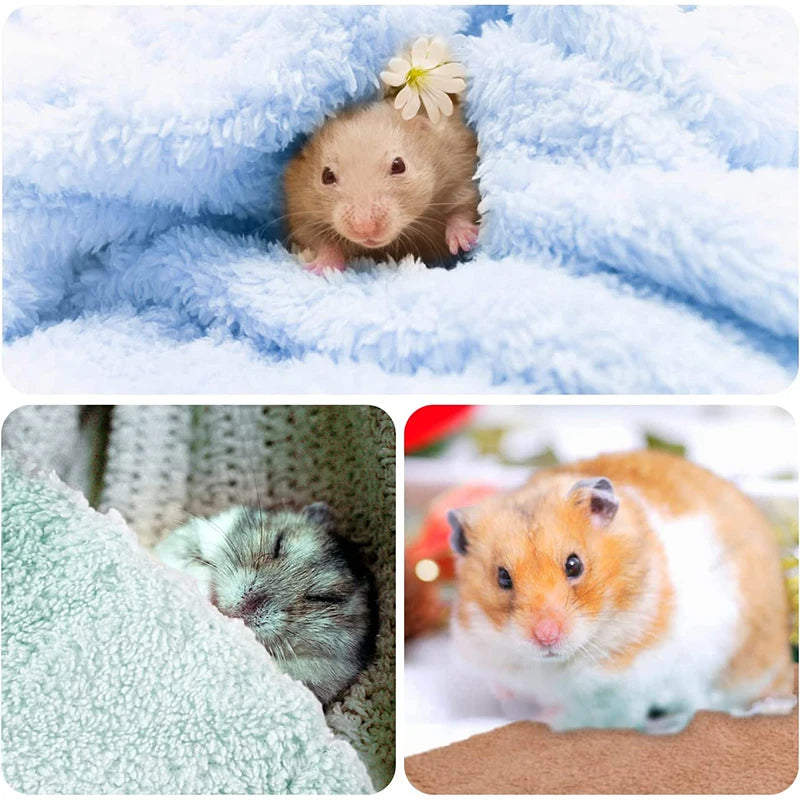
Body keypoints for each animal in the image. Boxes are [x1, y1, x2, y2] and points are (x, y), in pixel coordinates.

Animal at [284, 98, 479, 274]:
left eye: (399, 165)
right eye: (327, 176)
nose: (365, 228)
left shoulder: (460, 168)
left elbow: (463, 207)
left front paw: (463, 241)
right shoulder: (301, 213)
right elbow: (322, 242)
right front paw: (320, 269)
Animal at [449, 449, 796, 733]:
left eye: (574, 564)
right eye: (502, 577)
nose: (546, 637)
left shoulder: (620, 690)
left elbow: (576, 714)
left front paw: (543, 717)